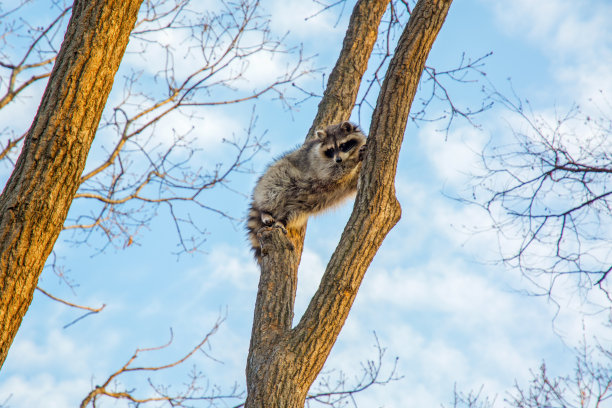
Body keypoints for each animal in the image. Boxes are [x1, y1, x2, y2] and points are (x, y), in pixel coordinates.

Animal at [246, 121, 366, 262]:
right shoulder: (318, 163)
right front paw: (354, 160)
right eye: (331, 150)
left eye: (343, 145)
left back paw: (282, 221)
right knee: (273, 192)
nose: (338, 160)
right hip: (278, 174)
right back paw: (265, 211)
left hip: (303, 206)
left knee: (294, 213)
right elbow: (333, 172)